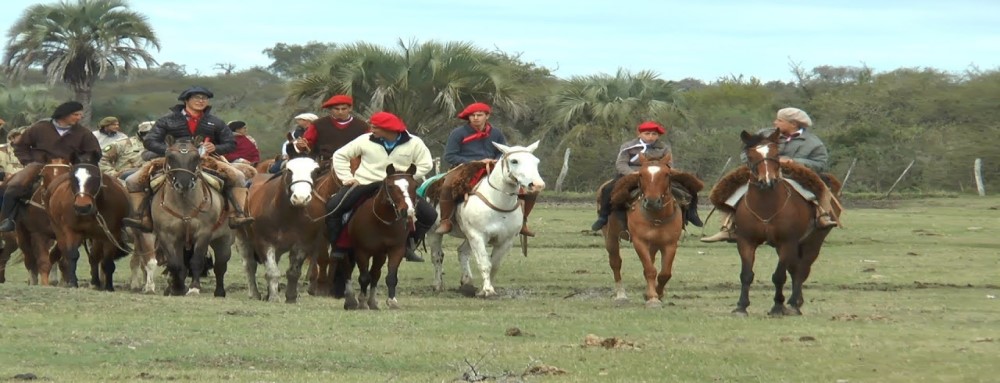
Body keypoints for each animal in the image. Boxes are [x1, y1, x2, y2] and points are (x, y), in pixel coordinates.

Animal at [47, 154, 131, 290]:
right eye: (72, 177)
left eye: (95, 177)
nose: (82, 207)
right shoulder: (72, 231)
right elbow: (72, 255)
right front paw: (73, 282)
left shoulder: (110, 234)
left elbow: (107, 261)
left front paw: (108, 287)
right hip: (59, 231)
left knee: (94, 256)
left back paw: (96, 282)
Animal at [348, 164, 418, 310]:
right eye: (390, 186)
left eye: (415, 186)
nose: (407, 211)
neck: (381, 223)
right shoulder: (361, 251)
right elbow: (364, 277)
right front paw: (362, 302)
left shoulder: (396, 250)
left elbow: (390, 277)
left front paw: (392, 301)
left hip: (379, 255)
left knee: (375, 274)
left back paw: (372, 302)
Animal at [424, 142, 544, 298]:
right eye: (514, 161)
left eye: (536, 162)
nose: (537, 185)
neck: (498, 202)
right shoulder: (478, 236)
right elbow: (485, 263)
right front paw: (488, 290)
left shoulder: (506, 241)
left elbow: (494, 265)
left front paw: (485, 288)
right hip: (434, 232)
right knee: (437, 257)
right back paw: (438, 285)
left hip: (468, 236)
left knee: (462, 252)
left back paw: (467, 283)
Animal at [600, 154, 696, 308]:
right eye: (640, 174)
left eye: (667, 174)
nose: (651, 201)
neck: (657, 217)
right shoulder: (640, 242)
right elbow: (650, 270)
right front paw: (652, 299)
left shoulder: (670, 244)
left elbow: (664, 273)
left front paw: (657, 294)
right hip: (611, 238)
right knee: (615, 263)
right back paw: (621, 295)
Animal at [728, 130, 836, 316]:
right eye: (750, 155)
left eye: (776, 154)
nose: (767, 181)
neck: (766, 207)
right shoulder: (746, 241)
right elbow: (746, 274)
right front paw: (741, 306)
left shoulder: (787, 242)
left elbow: (779, 276)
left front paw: (778, 306)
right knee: (795, 269)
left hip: (812, 243)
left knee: (801, 269)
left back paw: (794, 303)